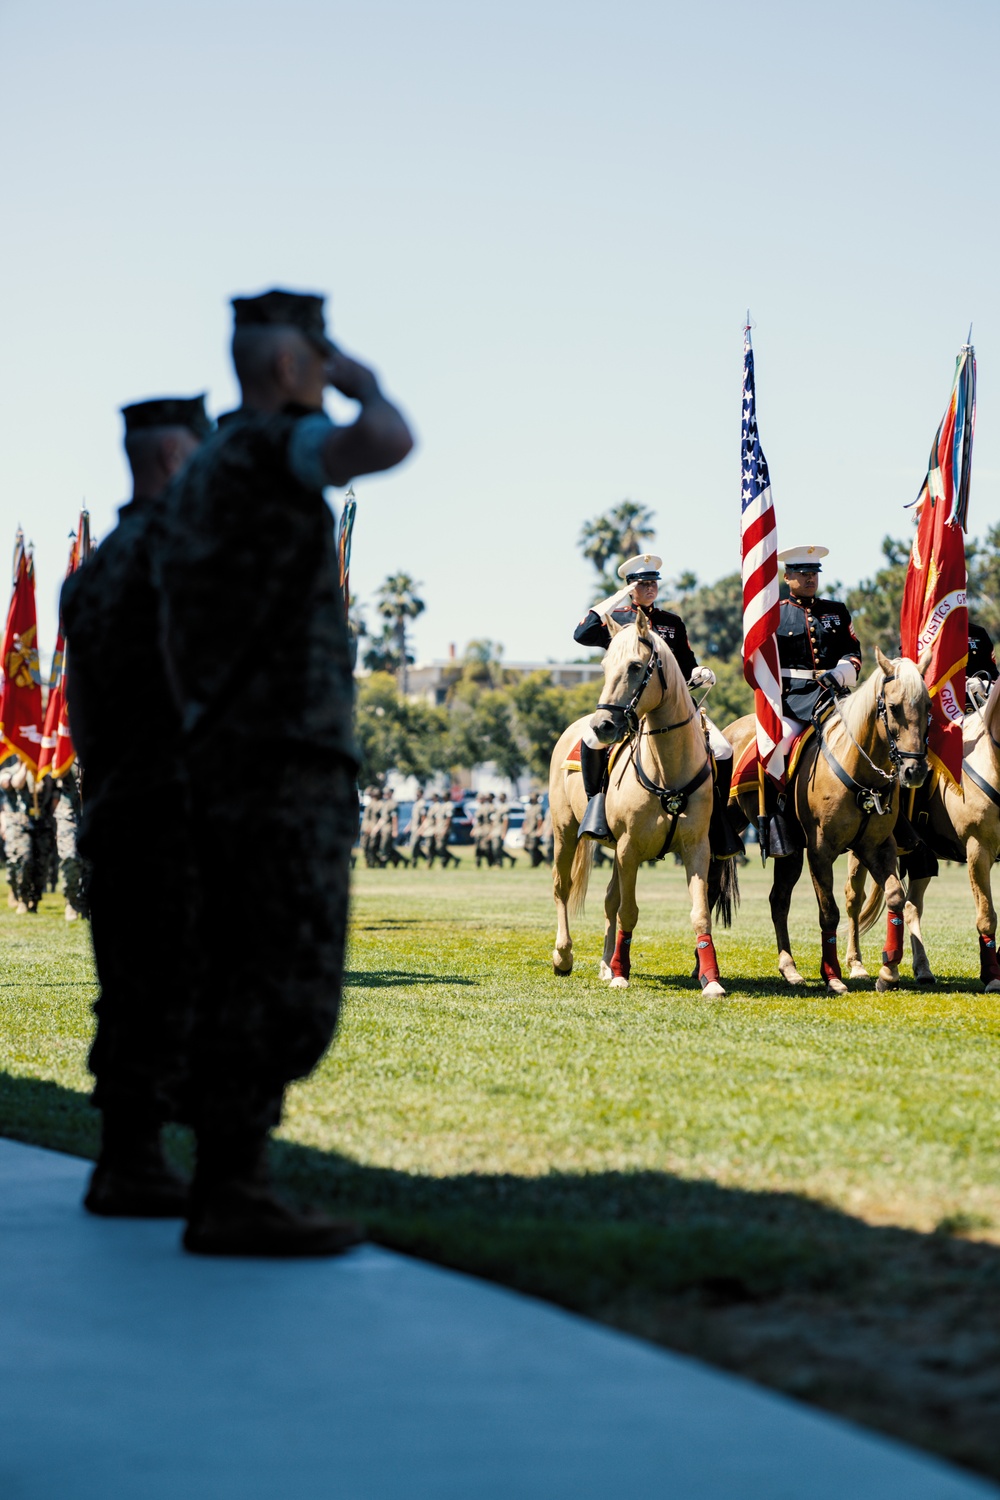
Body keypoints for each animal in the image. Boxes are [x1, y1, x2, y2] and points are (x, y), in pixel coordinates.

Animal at [548, 609, 734, 996]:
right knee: (562, 888)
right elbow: (629, 911)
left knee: (608, 899)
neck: (667, 767)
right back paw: (564, 956)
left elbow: (699, 913)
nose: (603, 725)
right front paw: (622, 973)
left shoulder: (697, 848)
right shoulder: (629, 848)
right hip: (565, 833)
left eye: (635, 666)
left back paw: (605, 964)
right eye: (604, 666)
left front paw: (710, 979)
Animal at [728, 654, 929, 996]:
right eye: (893, 707)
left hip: (791, 853)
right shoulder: (820, 851)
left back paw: (789, 969)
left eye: (927, 706)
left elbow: (894, 896)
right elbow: (829, 912)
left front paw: (888, 970)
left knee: (778, 900)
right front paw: (832, 975)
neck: (860, 771)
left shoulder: (876, 848)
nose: (914, 770)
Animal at [851, 675, 1000, 990]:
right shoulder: (978, 850)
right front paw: (993, 976)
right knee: (853, 901)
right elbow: (986, 915)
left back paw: (921, 968)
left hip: (921, 858)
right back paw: (857, 965)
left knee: (911, 906)